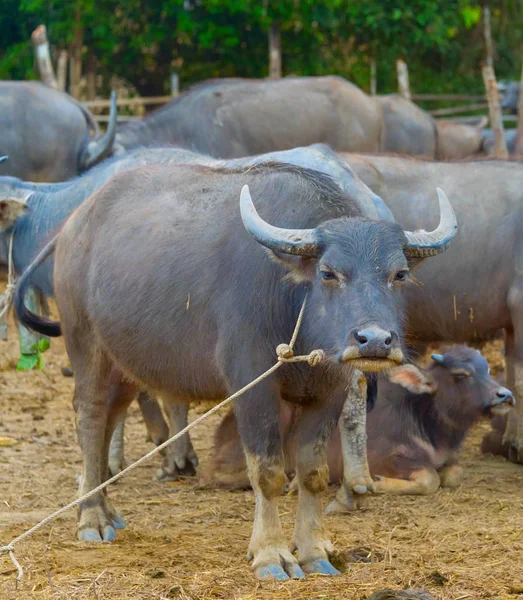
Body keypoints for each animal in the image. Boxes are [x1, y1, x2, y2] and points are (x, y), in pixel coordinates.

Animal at [15, 162, 458, 580]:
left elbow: (313, 472)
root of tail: (74, 224)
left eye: (399, 274)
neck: (292, 305)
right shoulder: (252, 385)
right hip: (86, 345)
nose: (374, 340)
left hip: (125, 363)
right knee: (90, 419)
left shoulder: (328, 391)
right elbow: (268, 472)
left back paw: (107, 510)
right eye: (329, 272)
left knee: (109, 416)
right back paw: (91, 517)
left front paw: (314, 551)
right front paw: (271, 555)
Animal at [207, 344, 512, 494]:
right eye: (461, 376)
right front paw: (379, 483)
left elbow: (453, 474)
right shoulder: (386, 456)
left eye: (486, 369)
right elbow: (430, 478)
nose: (505, 395)